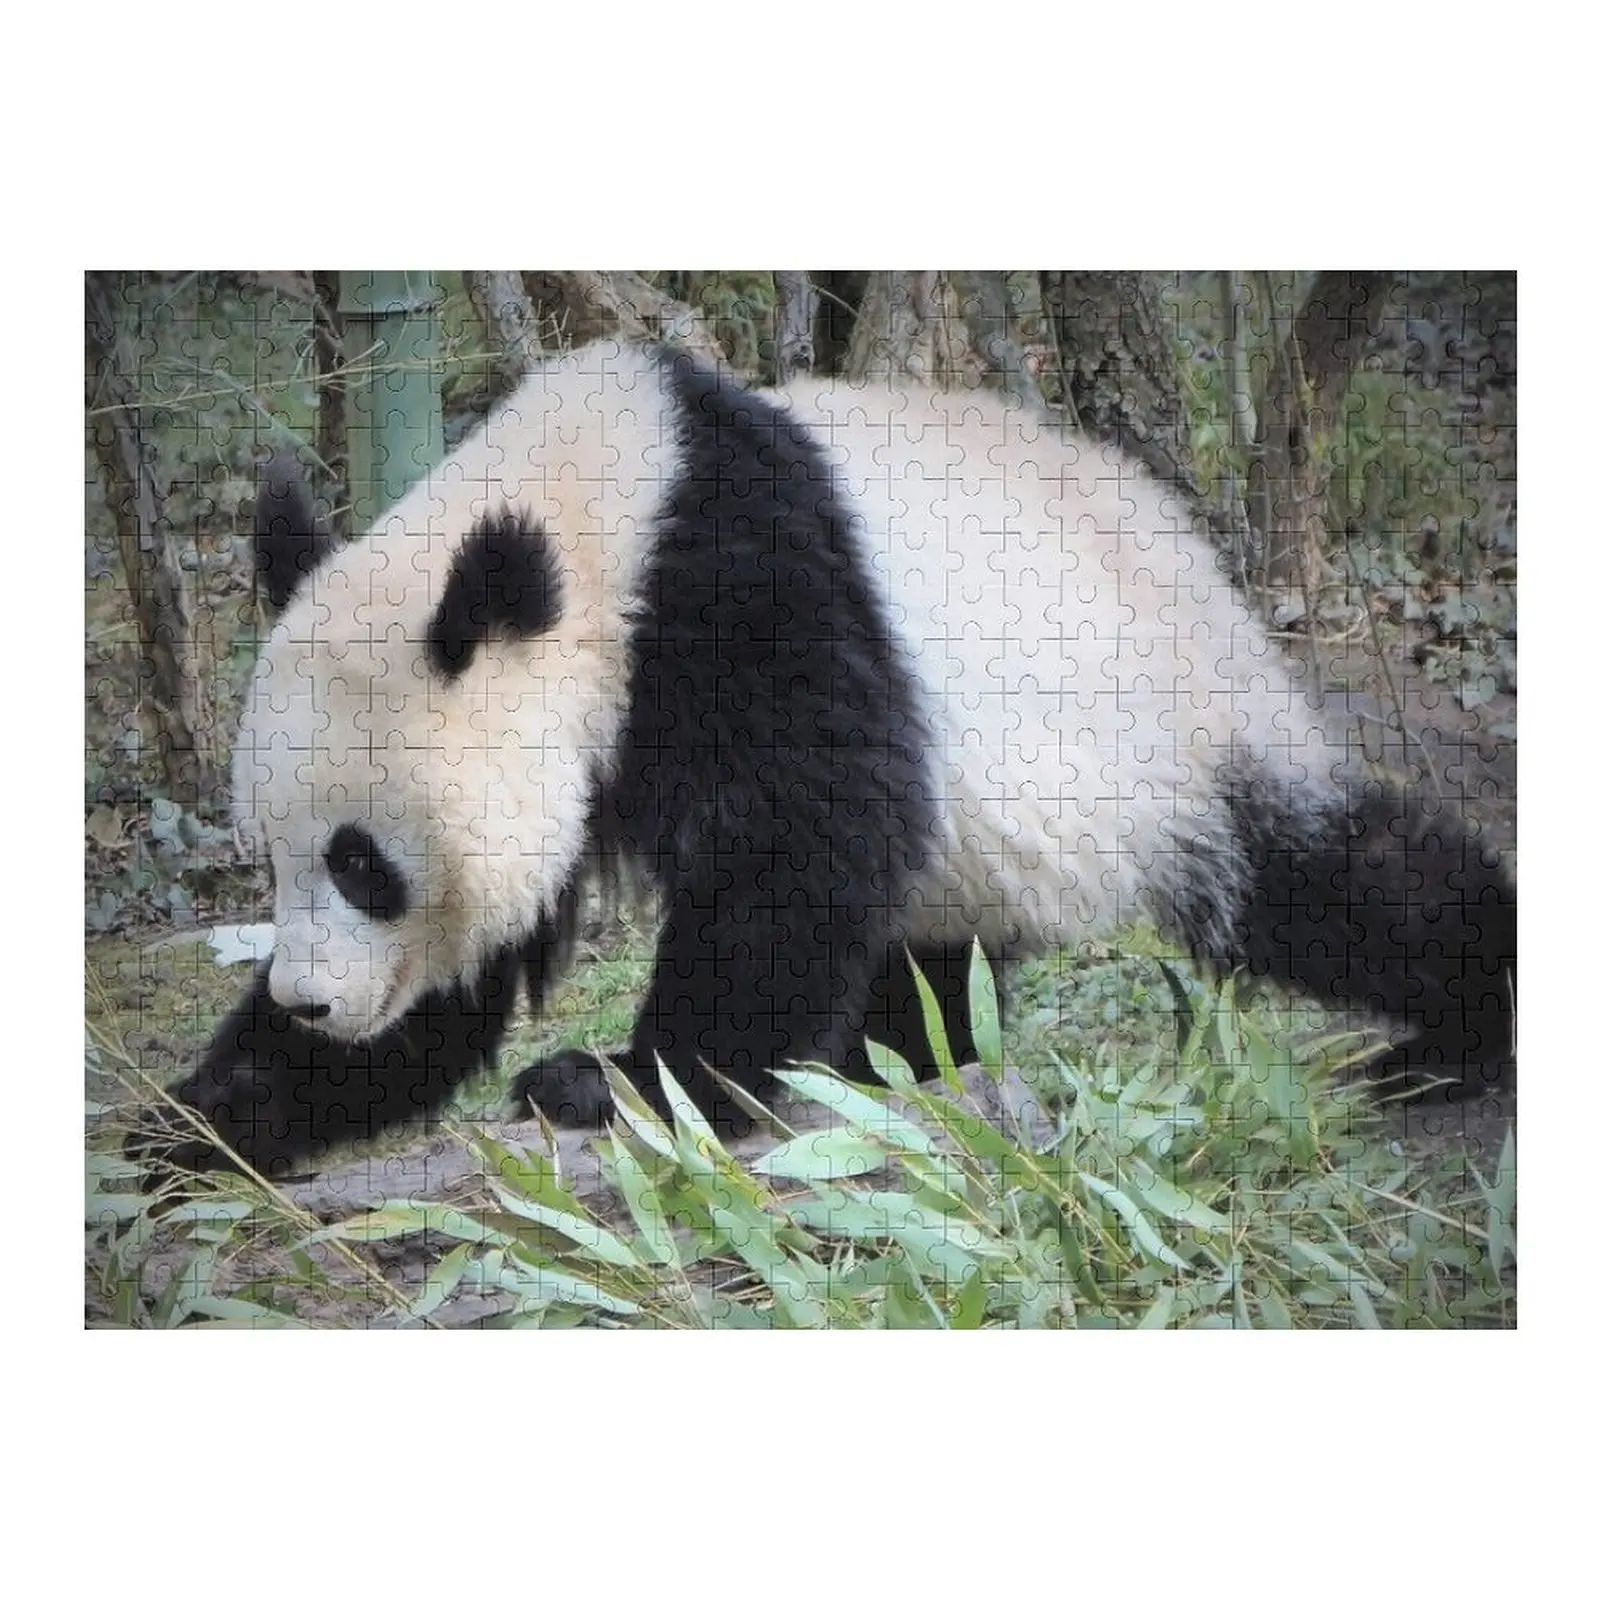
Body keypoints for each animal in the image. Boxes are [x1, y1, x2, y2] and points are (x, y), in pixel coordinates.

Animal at [158, 338, 1514, 1174]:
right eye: (272, 861)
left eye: (363, 863)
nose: (312, 1000)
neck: (598, 505)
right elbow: (464, 972)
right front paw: (209, 1120)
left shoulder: (739, 585)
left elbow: (795, 845)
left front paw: (616, 1082)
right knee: (938, 956)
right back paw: (892, 1057)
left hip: (1164, 737)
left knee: (1330, 879)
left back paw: (1458, 1030)